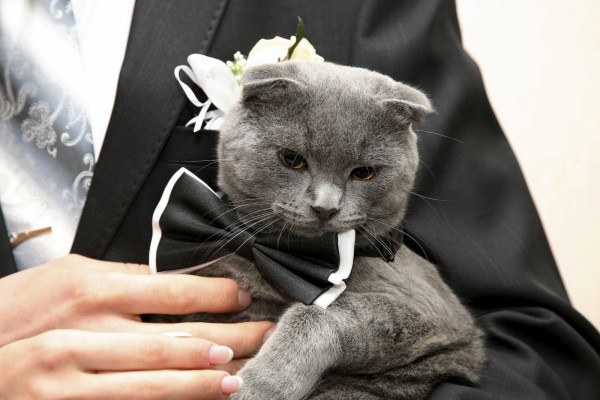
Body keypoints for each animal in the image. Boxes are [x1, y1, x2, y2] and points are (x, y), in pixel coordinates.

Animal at [161, 61, 482, 398]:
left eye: (364, 173)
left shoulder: (429, 313)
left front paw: (258, 385)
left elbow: (316, 313)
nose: (325, 207)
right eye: (292, 159)